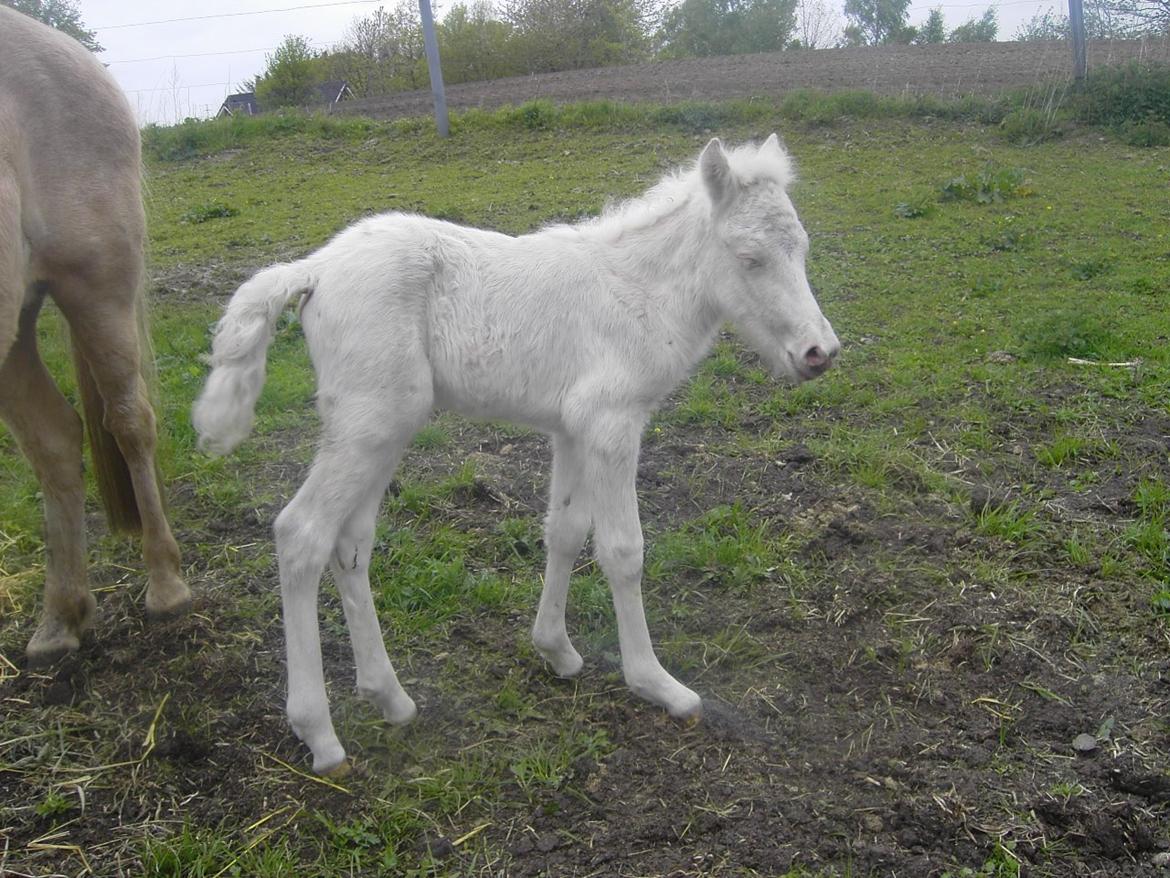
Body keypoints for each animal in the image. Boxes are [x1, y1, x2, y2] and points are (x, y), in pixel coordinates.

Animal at [196, 134, 842, 772]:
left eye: (803, 249)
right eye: (748, 258)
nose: (821, 353)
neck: (638, 291)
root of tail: (315, 269)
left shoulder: (573, 429)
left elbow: (565, 530)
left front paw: (556, 650)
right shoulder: (611, 424)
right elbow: (623, 550)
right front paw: (657, 683)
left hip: (381, 428)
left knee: (350, 543)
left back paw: (391, 698)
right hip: (368, 424)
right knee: (301, 534)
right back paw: (320, 735)